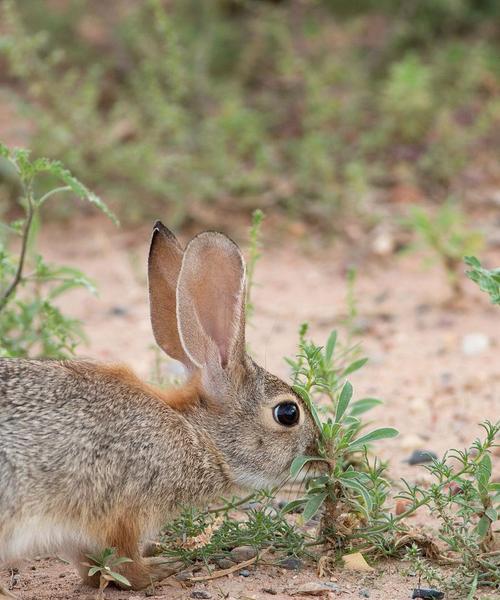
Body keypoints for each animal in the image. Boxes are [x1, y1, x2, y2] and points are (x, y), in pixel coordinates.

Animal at [0, 224, 318, 596]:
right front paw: (170, 566)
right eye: (288, 413)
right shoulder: (122, 514)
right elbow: (125, 568)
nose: (322, 454)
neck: (197, 435)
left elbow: (93, 570)